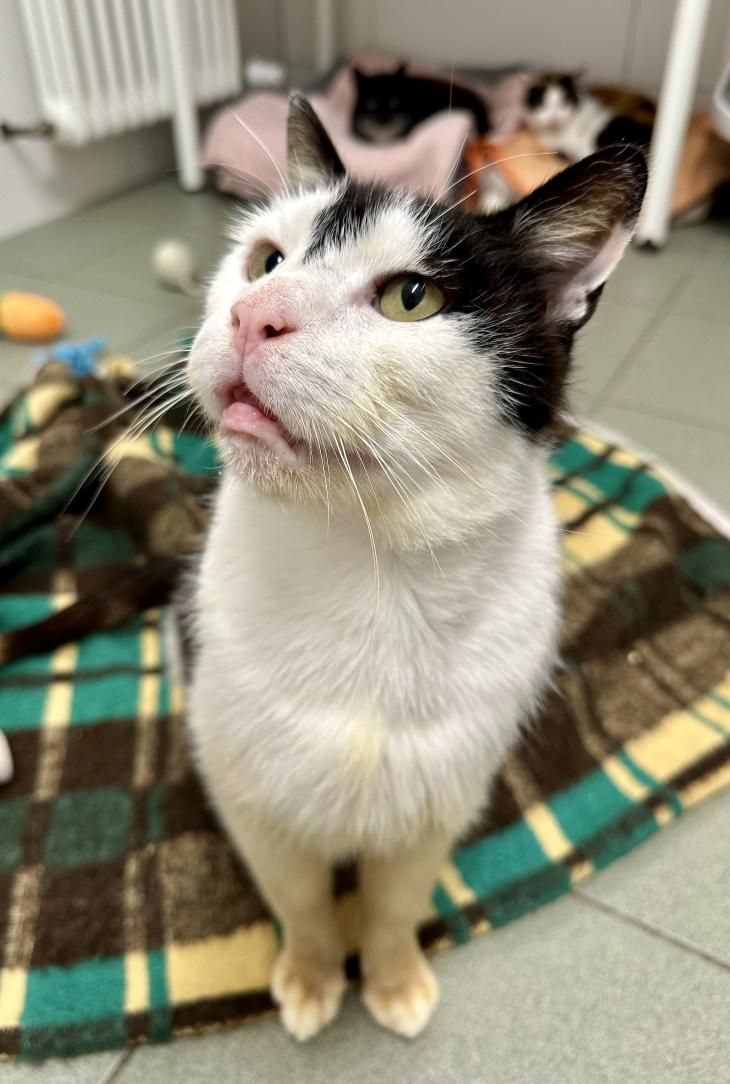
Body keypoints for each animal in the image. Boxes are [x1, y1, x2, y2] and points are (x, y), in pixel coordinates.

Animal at [184, 94, 646, 1041]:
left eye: (411, 297)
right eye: (266, 260)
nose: (254, 315)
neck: (372, 572)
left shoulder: (441, 793)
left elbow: (395, 903)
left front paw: (392, 978)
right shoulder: (250, 795)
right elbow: (302, 901)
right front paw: (314, 973)